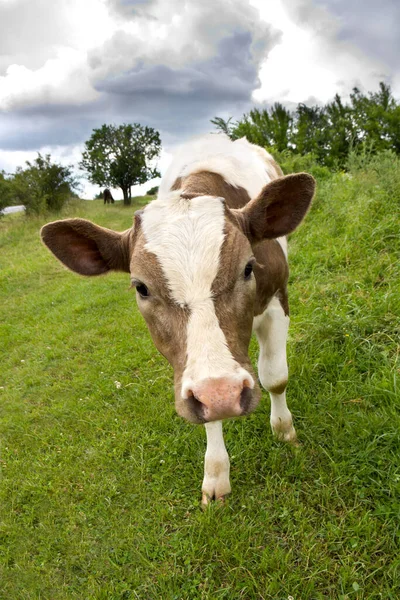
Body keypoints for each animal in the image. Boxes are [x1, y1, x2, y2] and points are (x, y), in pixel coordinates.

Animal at [41, 134, 316, 504]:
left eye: (248, 267)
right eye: (141, 287)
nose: (222, 394)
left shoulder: (276, 300)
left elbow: (275, 377)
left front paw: (285, 431)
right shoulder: (192, 377)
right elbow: (207, 417)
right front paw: (216, 474)